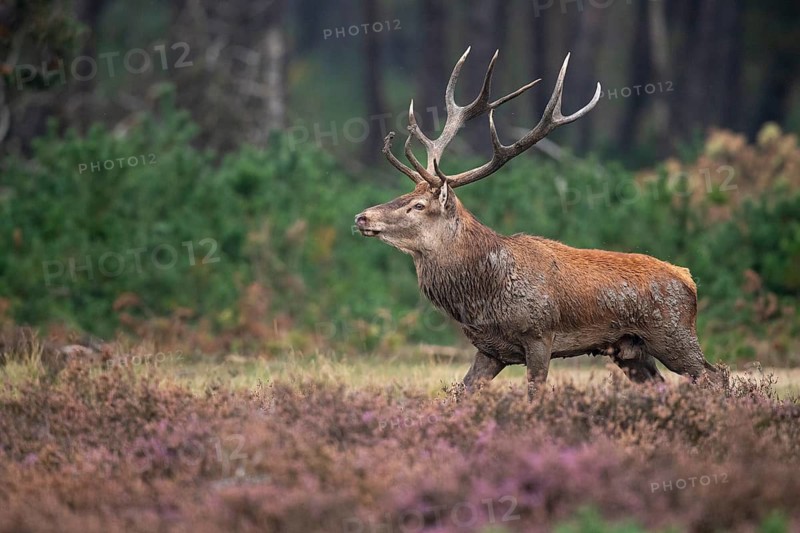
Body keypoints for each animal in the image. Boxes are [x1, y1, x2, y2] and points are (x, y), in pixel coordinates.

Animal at [354, 47, 720, 399]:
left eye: (418, 205)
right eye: (405, 194)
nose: (362, 216)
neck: (483, 294)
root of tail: (689, 280)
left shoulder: (540, 335)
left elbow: (535, 394)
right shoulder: (490, 349)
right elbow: (458, 395)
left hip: (673, 334)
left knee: (715, 376)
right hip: (631, 350)